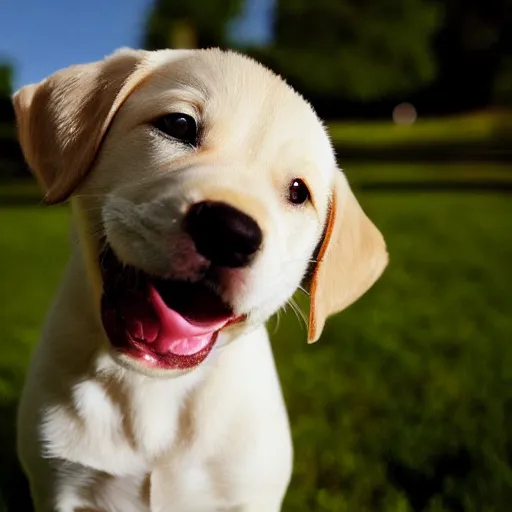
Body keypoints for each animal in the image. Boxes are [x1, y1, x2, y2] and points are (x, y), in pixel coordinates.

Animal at [13, 49, 388, 512]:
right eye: (178, 125)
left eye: (299, 192)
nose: (230, 232)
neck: (153, 388)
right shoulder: (59, 485)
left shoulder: (250, 492)